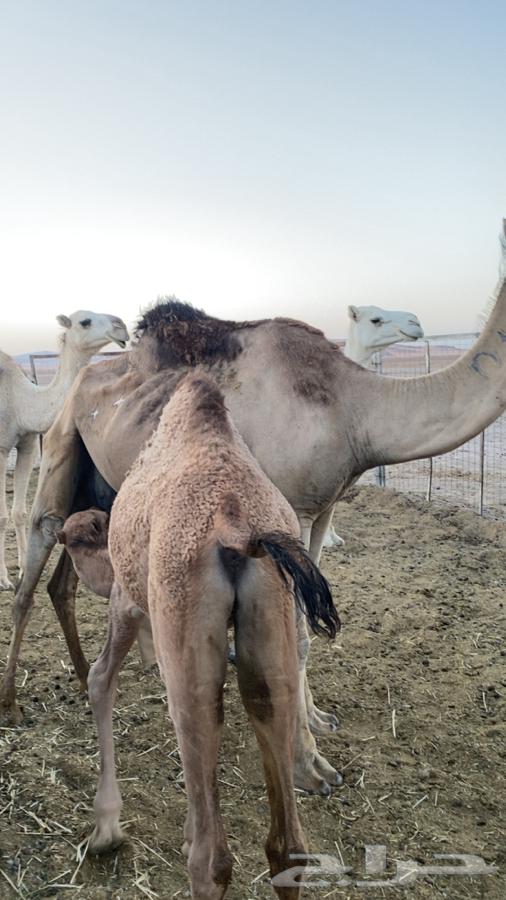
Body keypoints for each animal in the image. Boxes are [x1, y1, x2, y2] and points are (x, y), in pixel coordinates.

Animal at [0, 311, 129, 589]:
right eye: (85, 321)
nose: (121, 326)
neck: (20, 400)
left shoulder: (27, 444)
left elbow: (19, 513)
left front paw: (24, 571)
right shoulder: (1, 449)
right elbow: (2, 516)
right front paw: (3, 578)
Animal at [61, 373, 339, 899]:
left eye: (75, 539)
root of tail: (237, 530)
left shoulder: (128, 597)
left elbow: (101, 680)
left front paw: (106, 827)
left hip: (187, 624)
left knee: (211, 859)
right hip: (271, 631)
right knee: (288, 845)